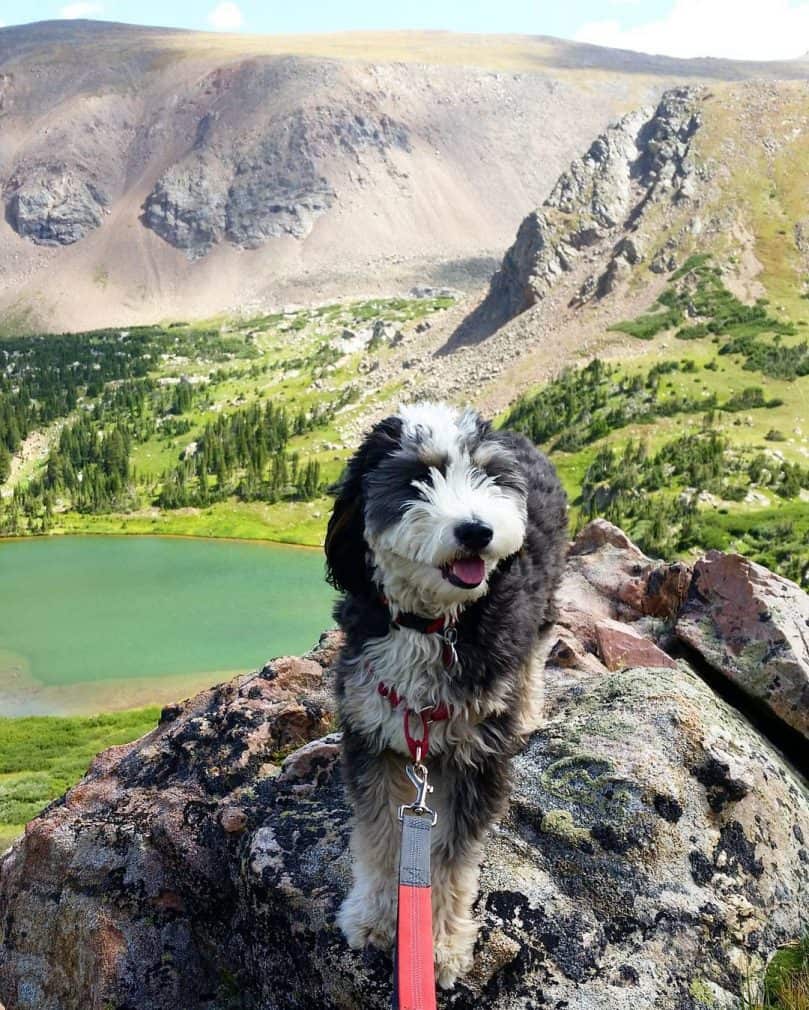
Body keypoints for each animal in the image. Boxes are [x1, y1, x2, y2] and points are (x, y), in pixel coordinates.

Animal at [325, 401, 565, 985]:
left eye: (488, 475)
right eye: (417, 478)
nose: (477, 530)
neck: (431, 625)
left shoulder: (479, 753)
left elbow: (452, 860)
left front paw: (438, 946)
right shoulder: (372, 732)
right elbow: (379, 838)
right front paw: (373, 917)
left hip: (544, 603)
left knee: (536, 654)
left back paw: (528, 711)